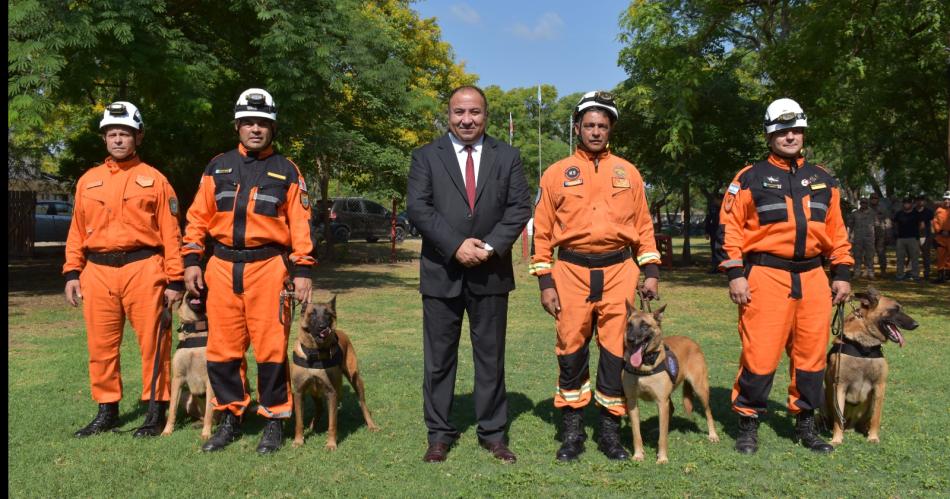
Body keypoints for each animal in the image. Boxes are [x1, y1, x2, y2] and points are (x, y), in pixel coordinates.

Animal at [164, 292, 216, 442]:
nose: (202, 288)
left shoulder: (210, 381)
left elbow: (209, 411)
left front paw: (206, 433)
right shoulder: (177, 379)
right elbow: (172, 410)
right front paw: (167, 430)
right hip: (185, 396)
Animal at [290, 294, 380, 452]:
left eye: (328, 314)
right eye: (312, 314)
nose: (323, 327)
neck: (315, 353)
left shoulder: (331, 392)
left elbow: (332, 423)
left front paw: (331, 444)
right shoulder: (299, 392)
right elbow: (299, 422)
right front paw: (299, 440)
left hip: (355, 380)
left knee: (363, 405)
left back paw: (371, 425)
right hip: (314, 390)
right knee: (319, 408)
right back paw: (312, 425)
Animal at [620, 304, 716, 464]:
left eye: (645, 326)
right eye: (629, 325)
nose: (630, 339)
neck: (645, 365)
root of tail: (691, 341)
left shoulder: (661, 401)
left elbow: (663, 438)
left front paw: (662, 457)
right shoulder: (632, 401)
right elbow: (636, 433)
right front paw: (638, 454)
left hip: (700, 389)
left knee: (708, 411)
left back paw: (713, 435)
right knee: (670, 410)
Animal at [824, 288, 924, 448]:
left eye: (901, 309)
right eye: (894, 310)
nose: (916, 324)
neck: (864, 346)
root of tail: (850, 425)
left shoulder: (880, 386)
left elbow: (876, 417)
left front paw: (873, 437)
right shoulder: (839, 386)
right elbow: (838, 419)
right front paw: (836, 439)